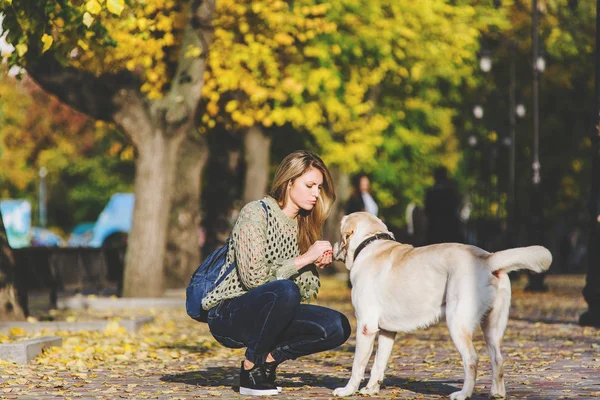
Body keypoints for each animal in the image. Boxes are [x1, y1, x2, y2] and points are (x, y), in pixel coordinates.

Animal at [332, 211, 552, 398]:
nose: (332, 246)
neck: (370, 243)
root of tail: (487, 258)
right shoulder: (386, 331)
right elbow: (379, 364)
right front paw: (371, 389)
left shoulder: (366, 326)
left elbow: (358, 365)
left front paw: (347, 390)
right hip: (492, 327)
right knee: (497, 359)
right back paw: (497, 393)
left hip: (457, 322)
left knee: (472, 359)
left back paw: (463, 394)